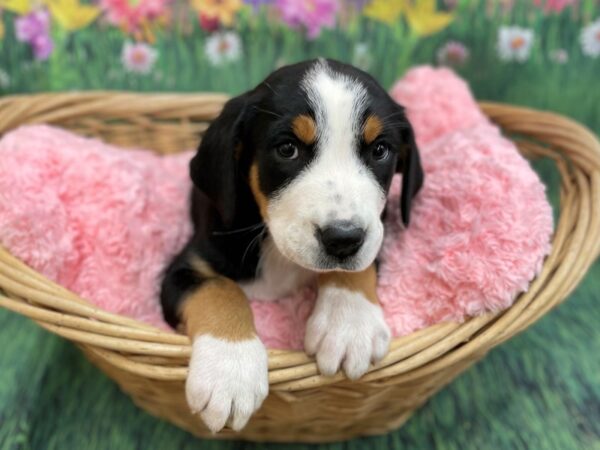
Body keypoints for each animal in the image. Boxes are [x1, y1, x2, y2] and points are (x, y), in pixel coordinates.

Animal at [159, 59, 422, 432]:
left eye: (380, 150)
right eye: (287, 149)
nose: (343, 239)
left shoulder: (377, 233)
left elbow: (358, 268)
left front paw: (348, 325)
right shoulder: (185, 267)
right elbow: (220, 290)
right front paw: (230, 370)